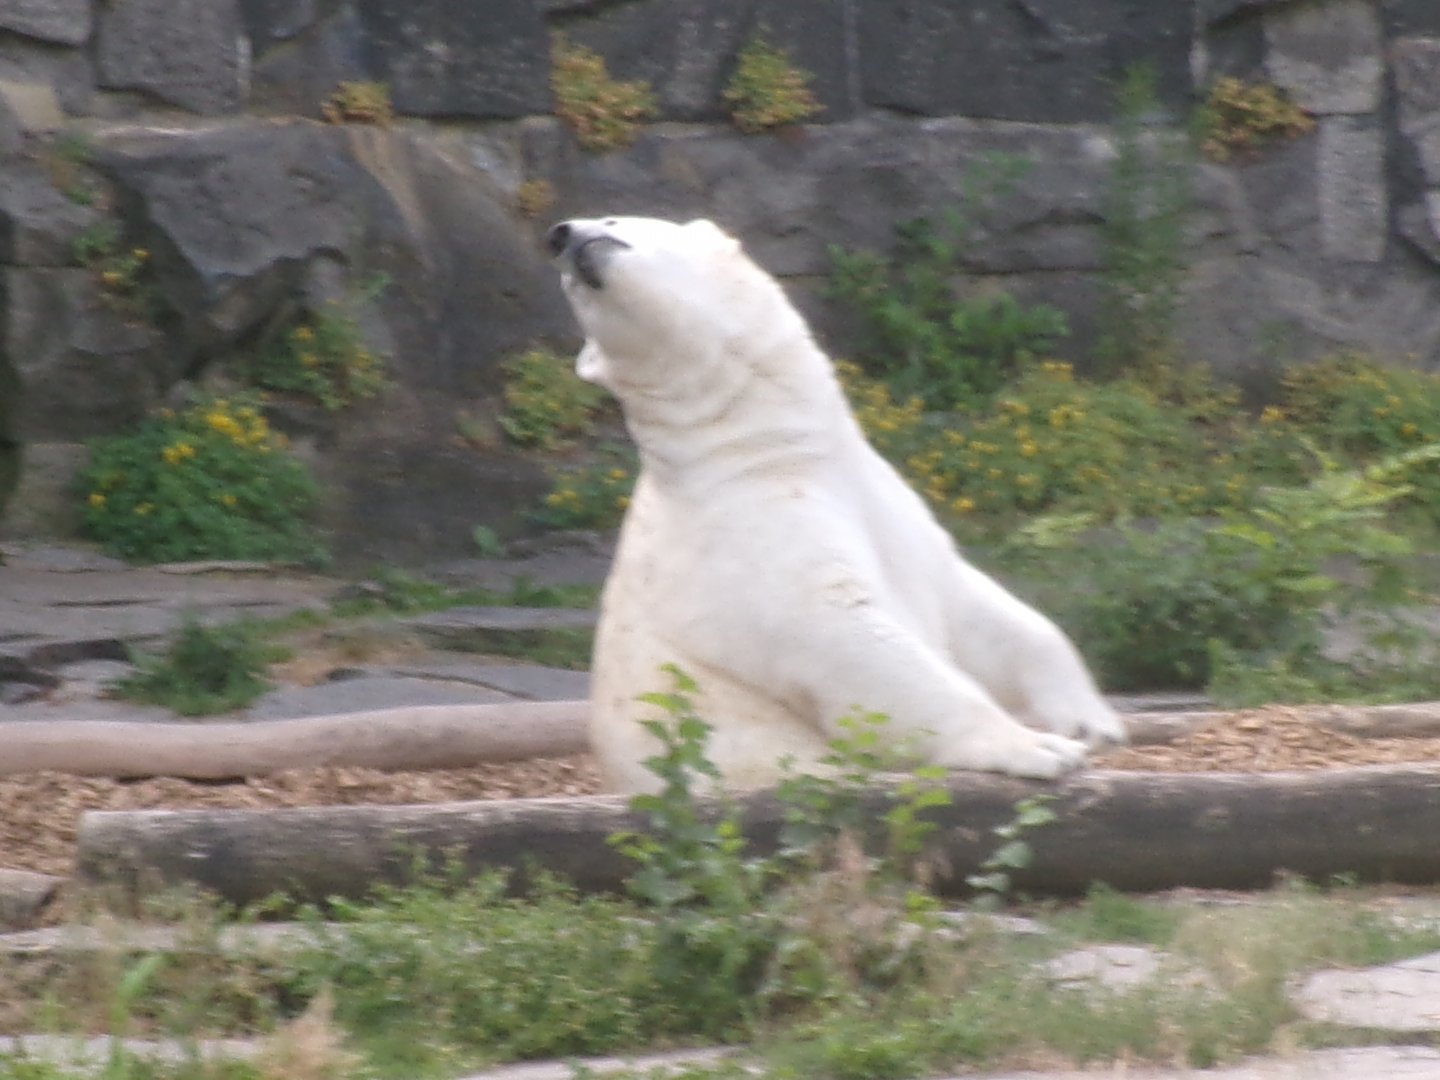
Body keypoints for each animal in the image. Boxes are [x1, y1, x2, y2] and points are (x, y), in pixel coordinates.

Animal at [547, 215, 1126, 794]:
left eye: (616, 220)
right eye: (572, 289)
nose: (563, 235)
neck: (766, 446)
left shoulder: (894, 510)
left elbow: (975, 608)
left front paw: (1090, 719)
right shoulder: (750, 527)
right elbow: (846, 635)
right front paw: (1039, 747)